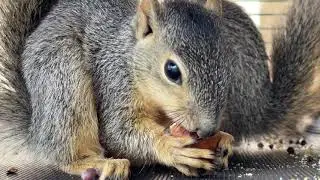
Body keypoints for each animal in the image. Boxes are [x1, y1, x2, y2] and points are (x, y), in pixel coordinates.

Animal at [0, 0, 318, 179]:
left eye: (228, 62)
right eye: (172, 70)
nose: (206, 129)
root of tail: (36, 126)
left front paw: (221, 139)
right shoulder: (113, 78)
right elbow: (119, 131)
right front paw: (172, 149)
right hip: (63, 82)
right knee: (63, 153)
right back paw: (98, 164)